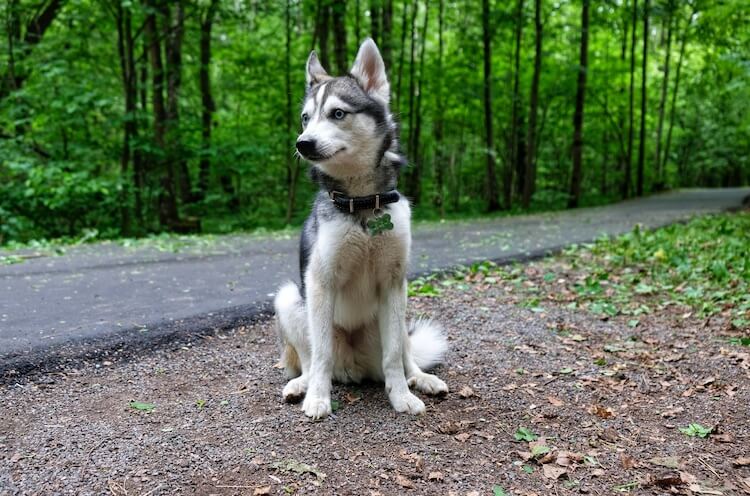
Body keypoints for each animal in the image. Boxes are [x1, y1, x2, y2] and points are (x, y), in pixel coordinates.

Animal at [274, 39, 446, 418]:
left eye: (338, 113)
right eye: (306, 118)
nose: (302, 143)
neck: (364, 205)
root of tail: (354, 367)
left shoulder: (393, 282)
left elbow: (394, 355)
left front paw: (401, 396)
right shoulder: (320, 282)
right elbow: (321, 354)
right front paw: (318, 398)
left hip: (398, 310)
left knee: (404, 352)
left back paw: (421, 378)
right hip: (290, 298)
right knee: (308, 359)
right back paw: (302, 385)